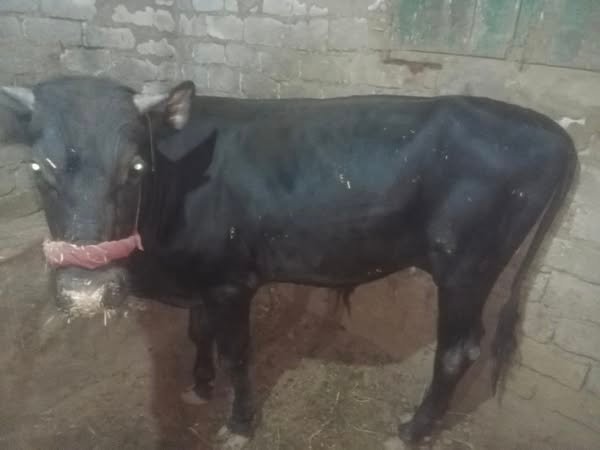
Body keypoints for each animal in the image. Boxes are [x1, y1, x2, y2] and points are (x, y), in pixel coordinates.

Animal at [1, 75, 576, 447]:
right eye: (36, 169)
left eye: (136, 167)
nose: (86, 293)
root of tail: (548, 127)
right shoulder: (203, 278)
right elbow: (197, 331)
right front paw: (200, 386)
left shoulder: (231, 282)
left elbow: (237, 352)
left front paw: (239, 423)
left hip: (467, 266)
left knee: (458, 350)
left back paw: (412, 431)